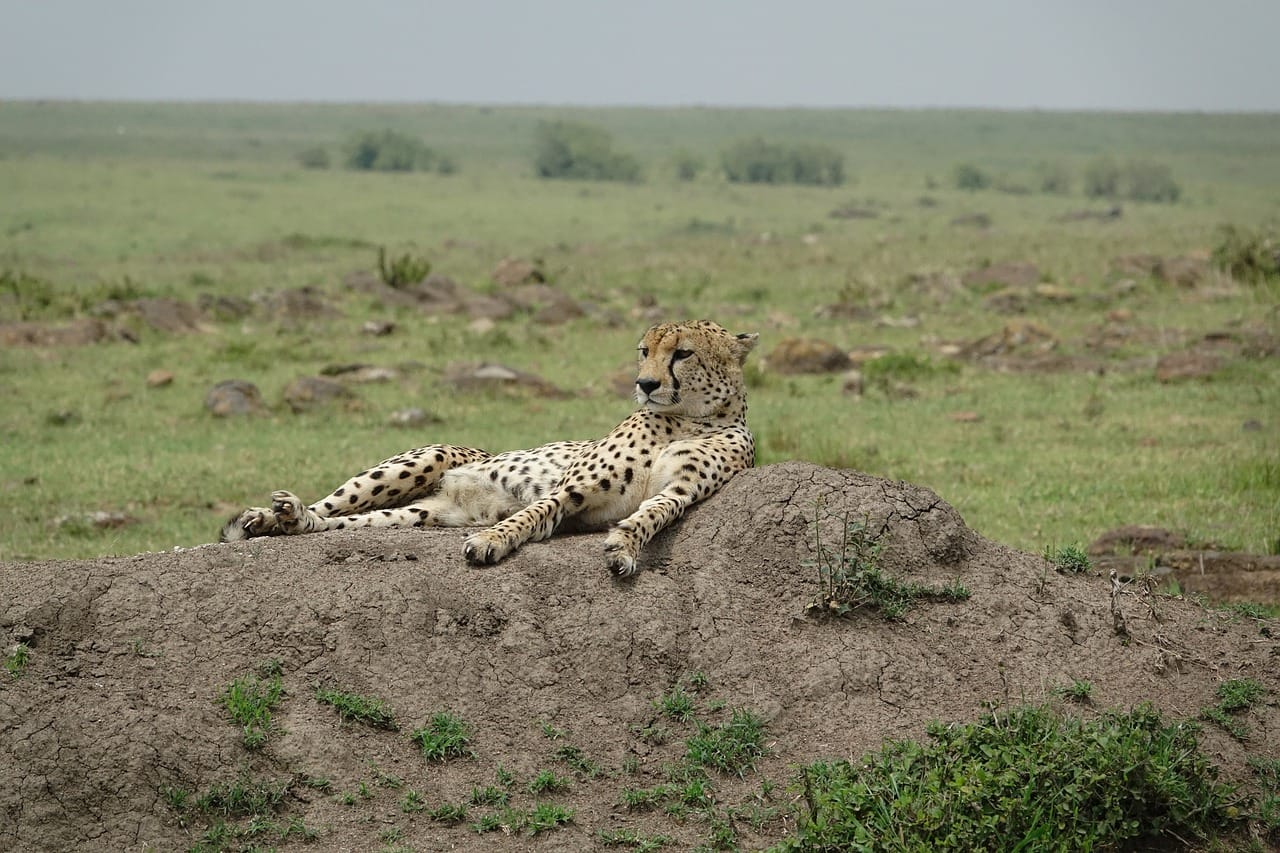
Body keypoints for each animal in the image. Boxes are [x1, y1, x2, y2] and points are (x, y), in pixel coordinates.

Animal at [221, 320, 757, 578]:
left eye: (682, 353)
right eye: (644, 351)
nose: (645, 384)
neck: (686, 417)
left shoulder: (679, 491)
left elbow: (650, 514)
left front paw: (623, 546)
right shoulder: (575, 486)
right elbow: (535, 510)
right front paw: (494, 541)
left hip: (419, 515)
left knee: (346, 524)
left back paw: (293, 520)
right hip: (423, 461)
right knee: (330, 505)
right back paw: (271, 516)